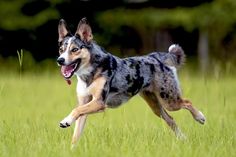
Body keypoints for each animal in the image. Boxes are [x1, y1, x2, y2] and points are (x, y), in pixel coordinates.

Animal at [56, 17, 206, 147]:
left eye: (75, 49)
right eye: (61, 50)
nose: (60, 60)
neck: (89, 74)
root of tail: (155, 57)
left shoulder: (99, 102)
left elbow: (76, 110)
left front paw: (65, 121)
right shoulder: (84, 103)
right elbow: (76, 132)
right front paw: (72, 149)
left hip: (169, 100)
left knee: (187, 102)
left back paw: (200, 117)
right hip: (156, 106)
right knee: (171, 120)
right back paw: (183, 139)